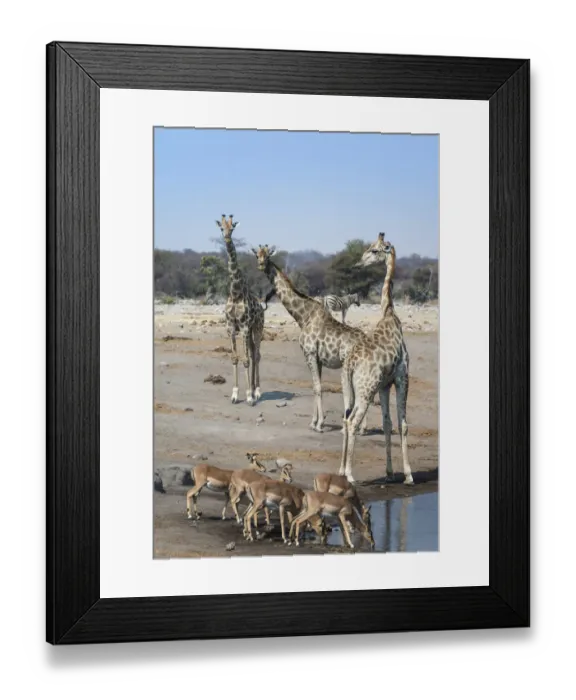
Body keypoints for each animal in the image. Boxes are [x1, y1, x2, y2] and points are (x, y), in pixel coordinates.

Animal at [253, 245, 368, 434]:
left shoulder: (310, 353)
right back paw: (361, 427)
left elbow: (317, 387)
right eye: (257, 255)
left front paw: (319, 424)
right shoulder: (318, 358)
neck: (303, 317)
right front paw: (314, 422)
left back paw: (357, 428)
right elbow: (316, 386)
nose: (261, 265)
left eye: (268, 256)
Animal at [339, 233, 413, 485]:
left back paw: (341, 470)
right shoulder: (402, 377)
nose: (357, 264)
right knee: (353, 422)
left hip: (350, 390)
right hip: (365, 390)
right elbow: (402, 424)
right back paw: (350, 475)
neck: (389, 313)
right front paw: (408, 474)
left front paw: (390, 472)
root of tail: (350, 364)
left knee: (345, 420)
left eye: (374, 250)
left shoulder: (384, 385)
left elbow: (387, 423)